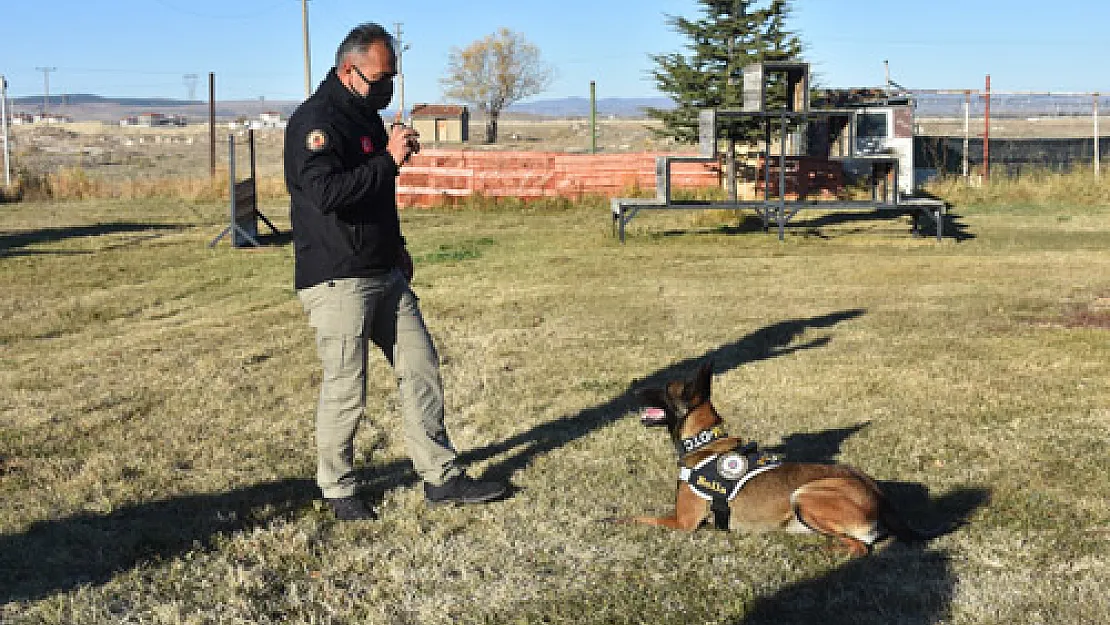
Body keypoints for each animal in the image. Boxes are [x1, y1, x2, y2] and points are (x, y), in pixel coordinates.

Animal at [617, 361, 945, 557]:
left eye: (664, 388)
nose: (633, 384)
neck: (705, 442)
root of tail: (879, 494)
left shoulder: (682, 522)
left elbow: (639, 516)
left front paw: (614, 519)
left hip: (804, 495)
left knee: (860, 548)